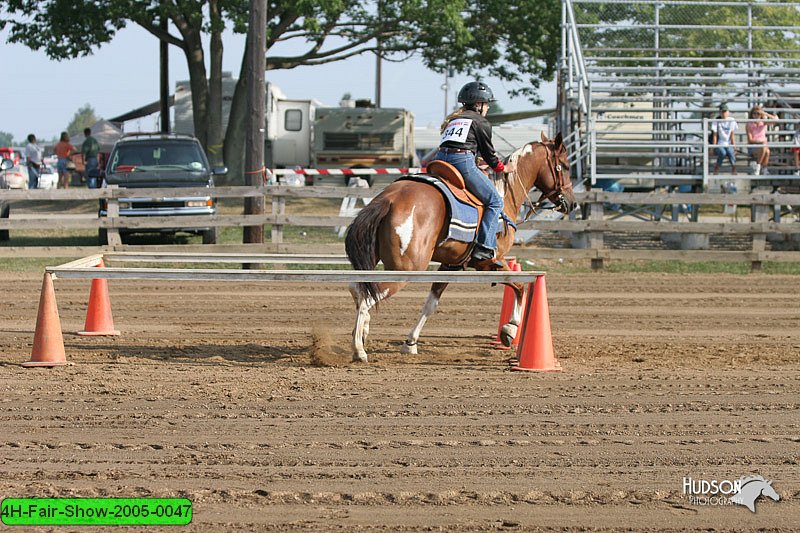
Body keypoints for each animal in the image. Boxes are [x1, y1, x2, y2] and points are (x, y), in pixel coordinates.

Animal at [344, 131, 576, 362]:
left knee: (358, 289)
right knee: (367, 296)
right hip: (405, 270)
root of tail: (389, 198)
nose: (572, 202)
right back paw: (359, 349)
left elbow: (431, 303)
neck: (505, 194)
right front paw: (509, 329)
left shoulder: (451, 265)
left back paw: (363, 332)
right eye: (565, 166)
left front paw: (410, 342)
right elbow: (519, 286)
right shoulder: (492, 262)